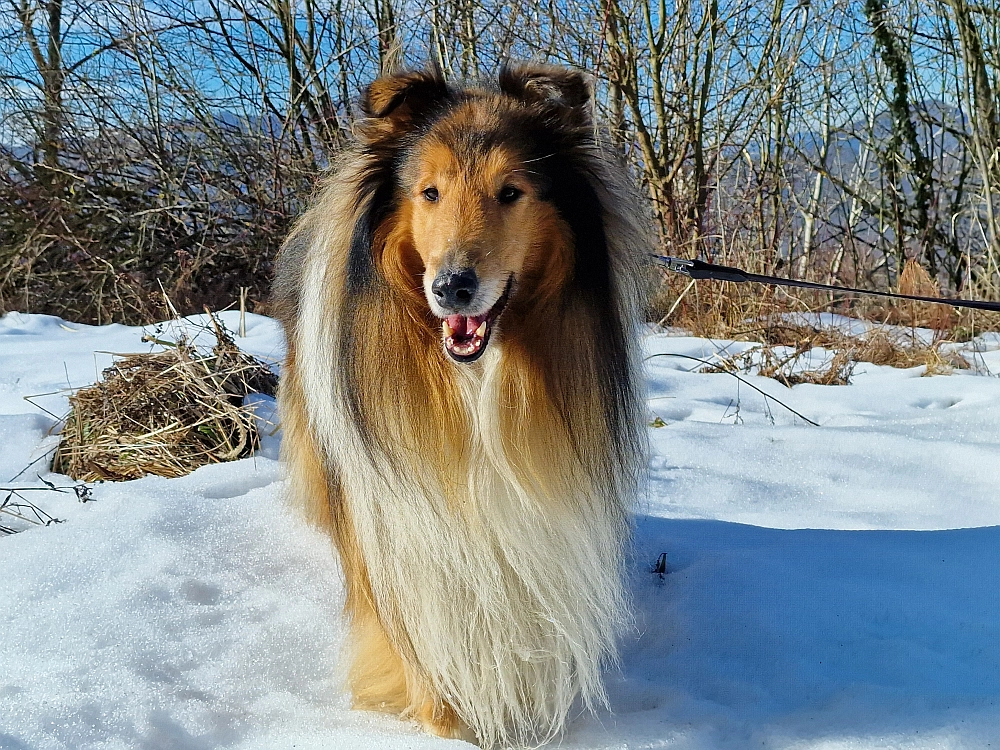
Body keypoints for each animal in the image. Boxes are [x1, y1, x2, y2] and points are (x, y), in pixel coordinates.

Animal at [274, 63, 648, 748]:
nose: (453, 287)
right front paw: (446, 719)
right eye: (430, 192)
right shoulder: (396, 525)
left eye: (511, 191)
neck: (473, 383)